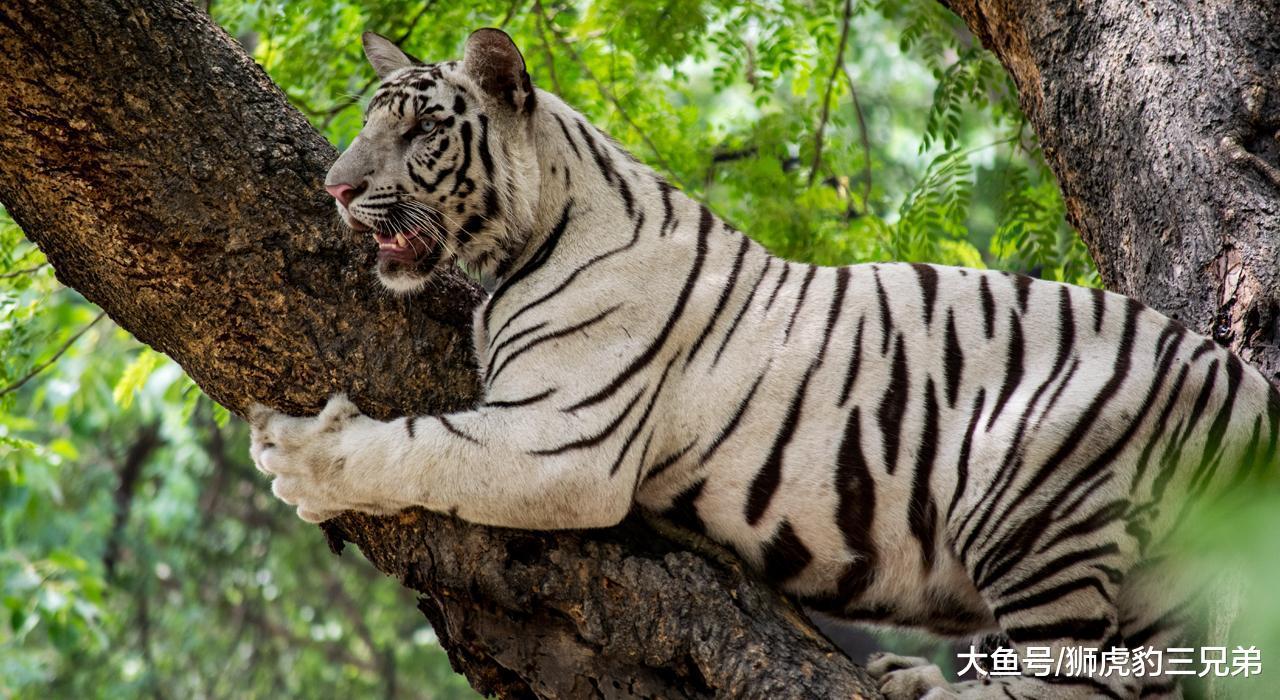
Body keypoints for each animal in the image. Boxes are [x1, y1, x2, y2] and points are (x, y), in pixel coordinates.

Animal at [248, 28, 1280, 699]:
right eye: (369, 123)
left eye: (421, 132)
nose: (336, 189)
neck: (522, 240)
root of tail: (1245, 382)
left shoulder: (564, 439)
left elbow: (419, 446)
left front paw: (296, 457)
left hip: (1031, 494)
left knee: (1075, 684)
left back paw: (925, 688)